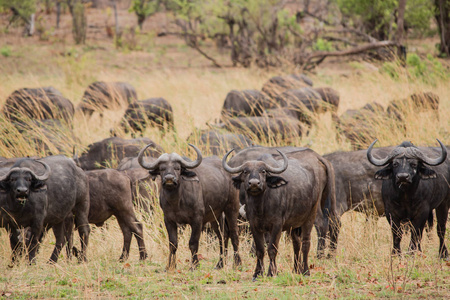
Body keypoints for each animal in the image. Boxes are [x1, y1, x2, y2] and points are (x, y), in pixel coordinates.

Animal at [223, 148, 336, 278]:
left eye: (263, 171)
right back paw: (296, 269)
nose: (254, 183)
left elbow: (272, 249)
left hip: (311, 215)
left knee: (307, 242)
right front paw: (257, 273)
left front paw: (271, 272)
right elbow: (260, 249)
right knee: (297, 243)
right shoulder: (254, 225)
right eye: (245, 171)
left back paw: (306, 270)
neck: (261, 206)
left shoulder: (277, 225)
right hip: (297, 222)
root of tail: (319, 158)